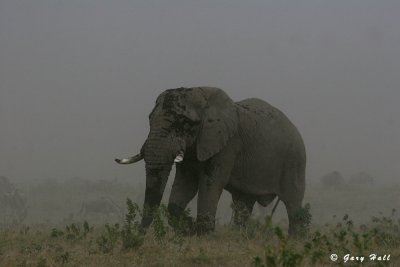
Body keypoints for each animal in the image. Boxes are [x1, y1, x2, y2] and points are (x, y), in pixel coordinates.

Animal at [115, 87, 306, 236]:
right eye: (149, 119)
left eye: (185, 123)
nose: (138, 236)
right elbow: (186, 184)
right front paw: (189, 229)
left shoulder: (227, 144)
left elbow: (211, 182)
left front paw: (202, 234)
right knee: (243, 203)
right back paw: (238, 236)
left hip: (295, 160)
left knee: (293, 204)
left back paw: (294, 241)